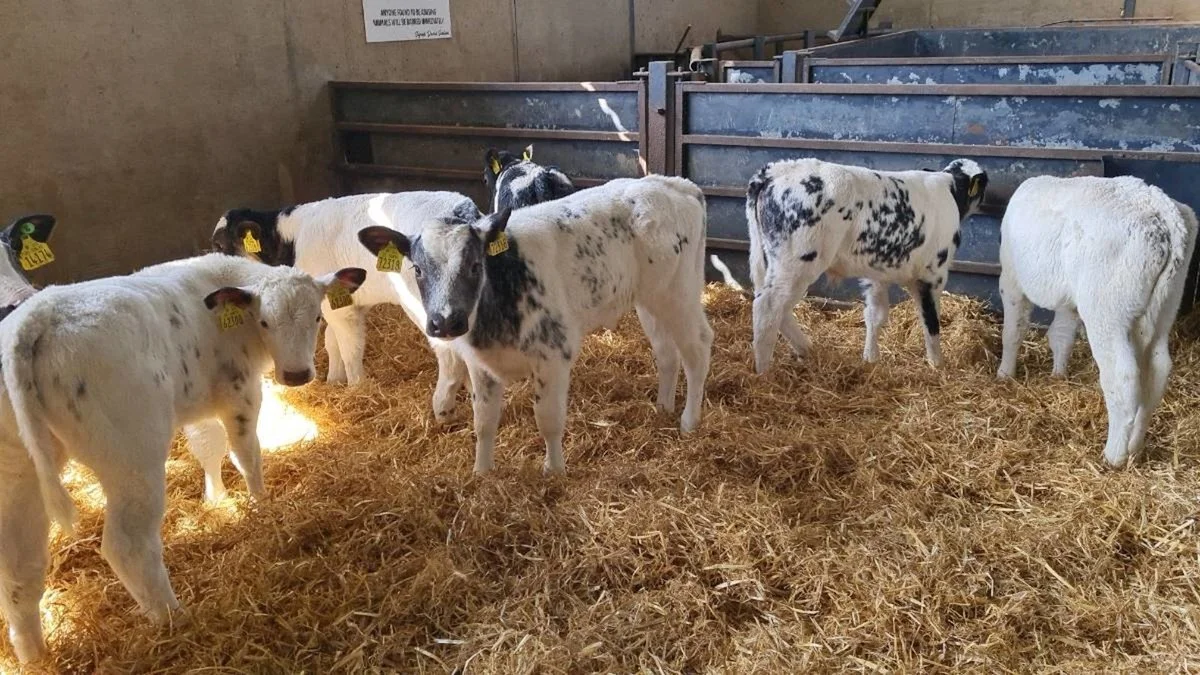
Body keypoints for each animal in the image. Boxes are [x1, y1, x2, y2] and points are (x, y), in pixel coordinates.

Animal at [0, 253, 363, 663]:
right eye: (265, 322)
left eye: (316, 317)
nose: (297, 374)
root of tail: (37, 317)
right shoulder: (239, 391)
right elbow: (246, 453)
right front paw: (261, 505)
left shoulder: (202, 402)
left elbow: (207, 445)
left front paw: (217, 500)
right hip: (133, 454)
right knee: (128, 547)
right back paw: (175, 620)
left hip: (16, 468)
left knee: (18, 567)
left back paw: (35, 656)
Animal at [358, 175, 713, 475]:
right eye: (417, 269)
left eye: (475, 265)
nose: (446, 321)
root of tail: (674, 184)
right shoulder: (480, 366)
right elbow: (483, 421)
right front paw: (481, 473)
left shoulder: (553, 355)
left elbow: (548, 419)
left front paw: (554, 472)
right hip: (649, 299)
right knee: (666, 353)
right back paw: (663, 408)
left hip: (678, 293)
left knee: (697, 348)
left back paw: (689, 420)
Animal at [746, 158, 988, 373]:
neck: (950, 188)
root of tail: (776, 170)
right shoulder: (933, 274)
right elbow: (931, 320)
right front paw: (937, 364)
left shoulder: (877, 275)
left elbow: (875, 315)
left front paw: (871, 358)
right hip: (797, 264)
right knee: (767, 307)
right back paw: (764, 373)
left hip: (771, 262)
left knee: (775, 306)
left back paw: (806, 348)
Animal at [996, 175, 1198, 468]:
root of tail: (1161, 207)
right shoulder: (1069, 300)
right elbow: (1062, 336)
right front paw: (1059, 374)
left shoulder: (1011, 279)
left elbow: (1013, 330)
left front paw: (1004, 373)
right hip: (1168, 302)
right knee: (1158, 369)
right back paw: (1135, 447)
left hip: (1106, 308)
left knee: (1122, 376)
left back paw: (1114, 455)